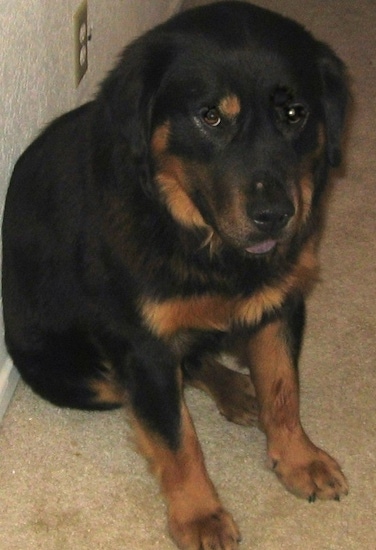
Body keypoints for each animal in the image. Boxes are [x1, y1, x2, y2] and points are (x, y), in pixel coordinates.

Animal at [2, 2, 350, 548]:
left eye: (295, 114)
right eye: (210, 117)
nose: (275, 215)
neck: (199, 238)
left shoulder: (281, 304)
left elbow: (283, 389)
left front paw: (298, 458)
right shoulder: (142, 347)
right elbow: (177, 438)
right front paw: (200, 514)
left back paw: (236, 388)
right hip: (82, 378)